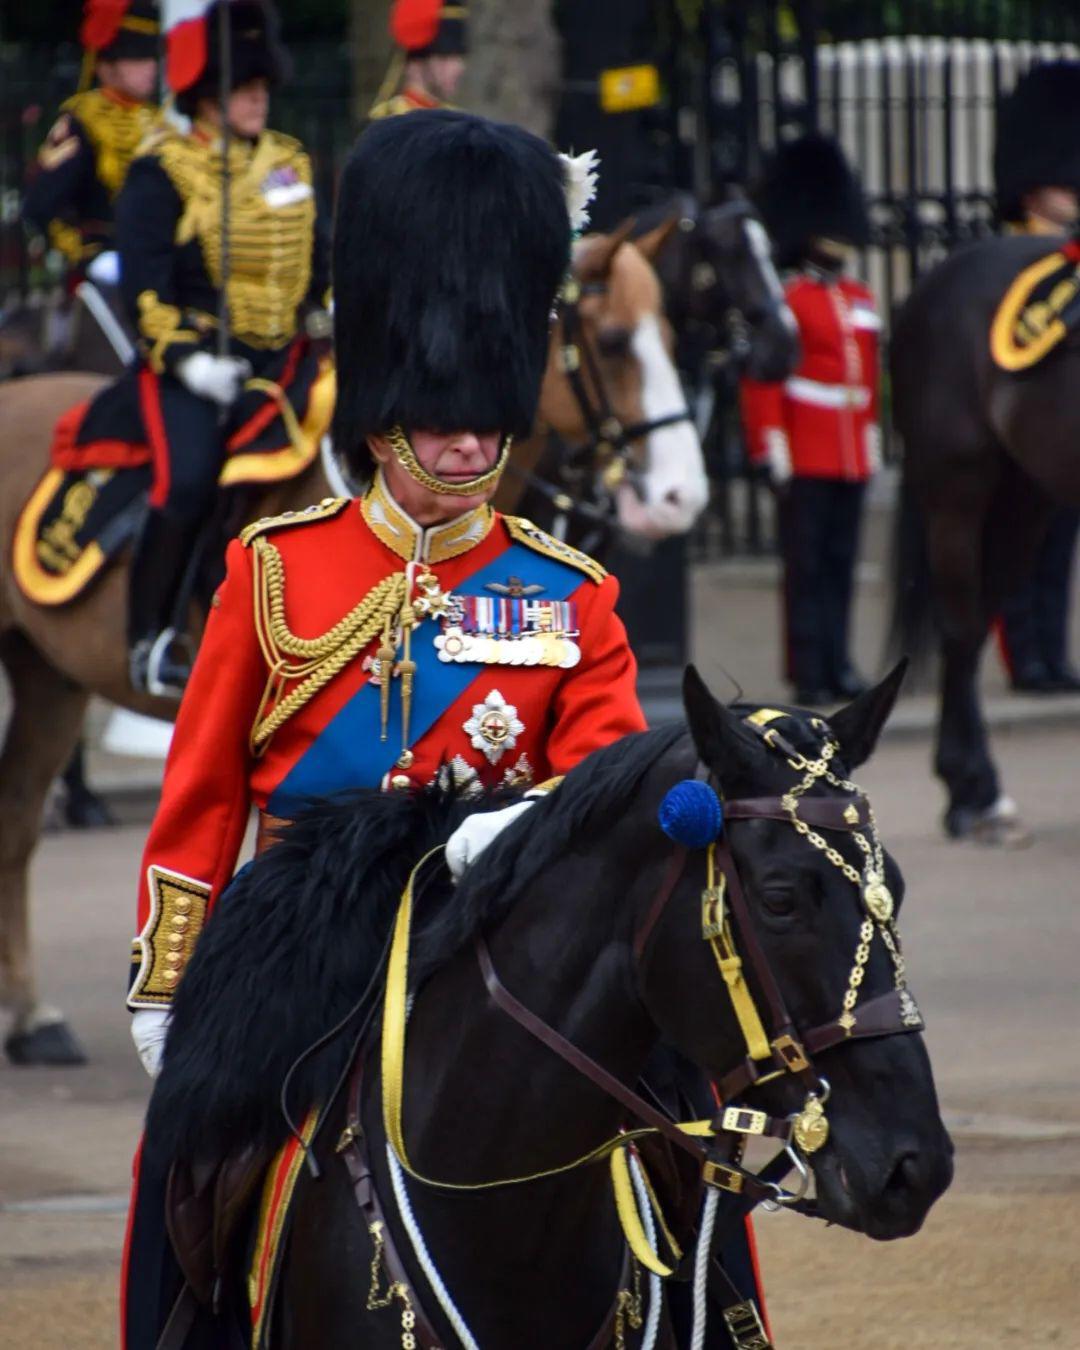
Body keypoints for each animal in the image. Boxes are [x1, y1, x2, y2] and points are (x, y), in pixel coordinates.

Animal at [0, 226, 691, 1063]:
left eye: (672, 335)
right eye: (615, 340)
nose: (680, 500)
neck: (420, 538)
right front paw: (161, 1024)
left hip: (51, 678)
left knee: (15, 821)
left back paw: (32, 1018)